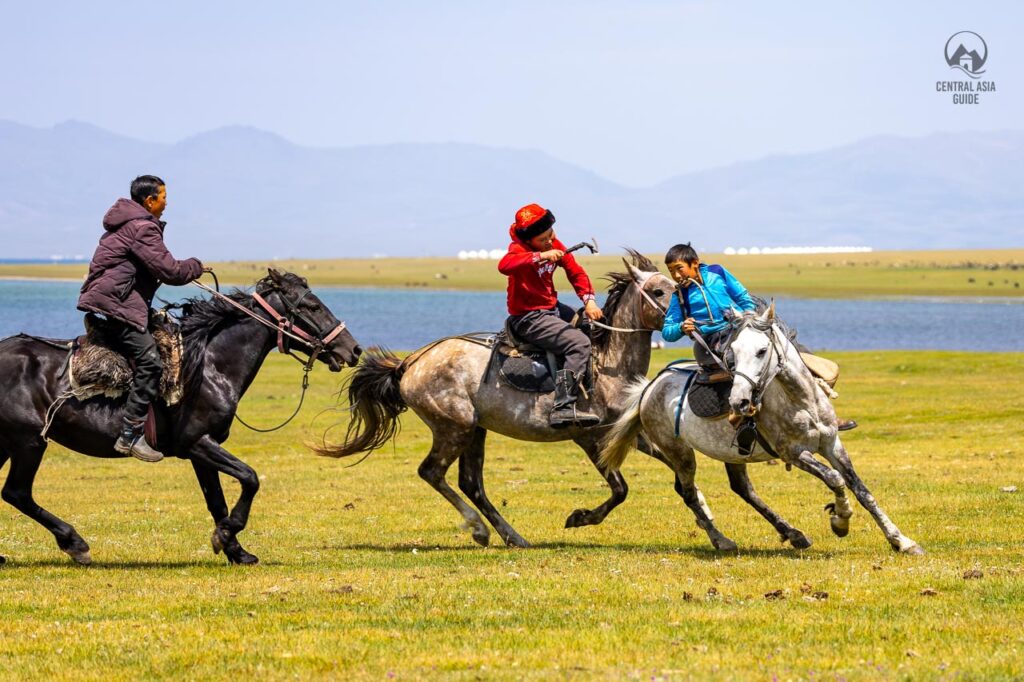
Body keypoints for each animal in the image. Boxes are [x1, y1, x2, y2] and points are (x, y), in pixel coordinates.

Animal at [0, 269, 362, 566]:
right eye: (312, 306)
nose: (354, 350)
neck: (210, 364)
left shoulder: (202, 451)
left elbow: (216, 502)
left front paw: (235, 550)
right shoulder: (197, 442)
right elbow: (250, 478)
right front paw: (227, 536)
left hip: (11, 444)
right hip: (29, 442)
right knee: (17, 493)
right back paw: (75, 544)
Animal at [316, 251, 676, 548]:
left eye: (675, 284)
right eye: (659, 292)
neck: (606, 361)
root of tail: (412, 363)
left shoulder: (628, 432)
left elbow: (670, 461)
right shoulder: (590, 438)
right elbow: (620, 490)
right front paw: (580, 518)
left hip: (476, 430)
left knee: (470, 483)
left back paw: (512, 536)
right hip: (454, 428)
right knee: (432, 472)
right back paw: (480, 529)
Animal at [599, 303, 924, 555]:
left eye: (762, 350)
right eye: (732, 352)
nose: (739, 401)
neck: (801, 400)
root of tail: (649, 389)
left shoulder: (831, 444)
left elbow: (861, 489)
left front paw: (901, 541)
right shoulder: (794, 453)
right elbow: (835, 479)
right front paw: (840, 520)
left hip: (731, 454)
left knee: (742, 489)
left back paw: (794, 534)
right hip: (679, 452)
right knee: (689, 492)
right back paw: (723, 541)